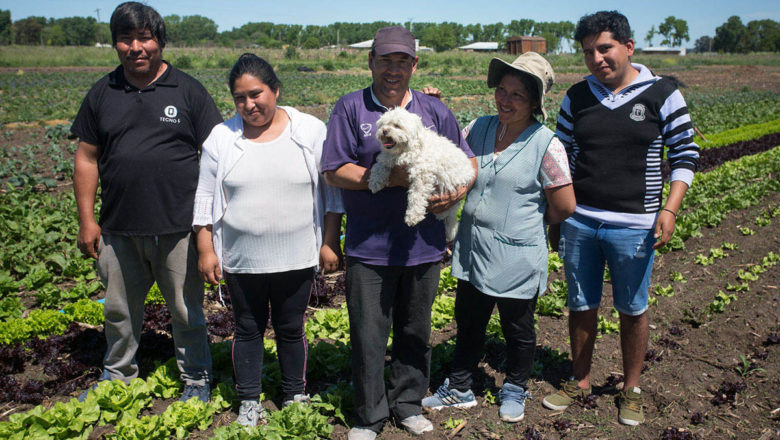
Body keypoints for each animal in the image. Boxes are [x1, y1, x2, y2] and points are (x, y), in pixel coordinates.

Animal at [368, 106, 472, 241]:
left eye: (397, 125)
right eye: (383, 125)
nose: (384, 131)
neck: (405, 150)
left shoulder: (422, 175)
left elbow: (416, 196)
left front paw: (413, 216)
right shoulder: (388, 158)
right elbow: (379, 166)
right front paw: (375, 182)